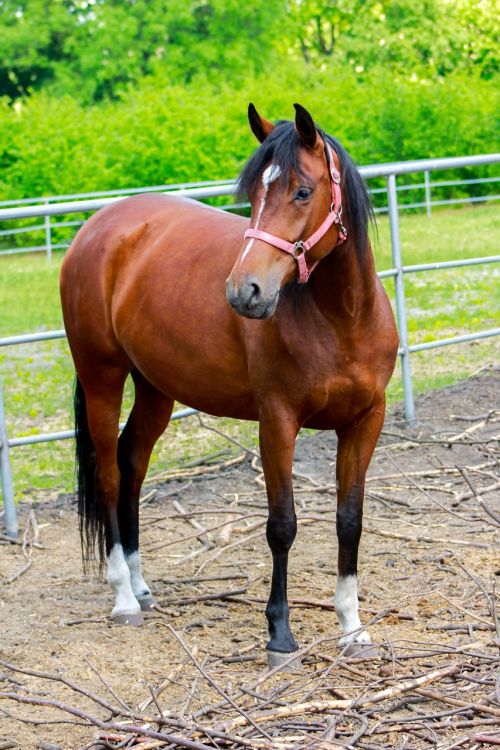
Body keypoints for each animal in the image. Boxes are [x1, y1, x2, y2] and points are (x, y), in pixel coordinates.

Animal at [60, 103, 396, 668]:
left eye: (302, 192)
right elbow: (282, 525)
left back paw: (141, 585)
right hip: (102, 377)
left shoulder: (365, 421)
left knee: (132, 464)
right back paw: (124, 596)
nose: (245, 292)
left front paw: (352, 628)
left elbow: (349, 519)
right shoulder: (277, 421)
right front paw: (280, 635)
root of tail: (98, 227)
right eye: (255, 195)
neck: (342, 320)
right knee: (108, 473)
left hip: (156, 389)